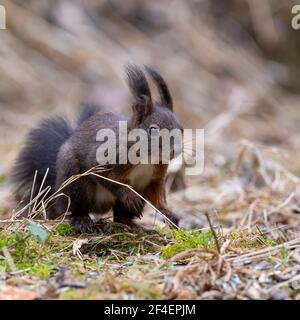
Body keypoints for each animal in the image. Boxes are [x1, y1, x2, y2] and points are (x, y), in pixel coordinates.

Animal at [11, 65, 183, 231]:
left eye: (181, 128)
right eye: (153, 130)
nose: (176, 150)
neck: (147, 158)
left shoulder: (155, 176)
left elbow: (157, 195)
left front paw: (168, 212)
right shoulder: (105, 158)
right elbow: (109, 179)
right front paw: (129, 196)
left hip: (136, 191)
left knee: (120, 216)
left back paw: (134, 226)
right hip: (75, 182)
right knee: (75, 207)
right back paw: (81, 220)